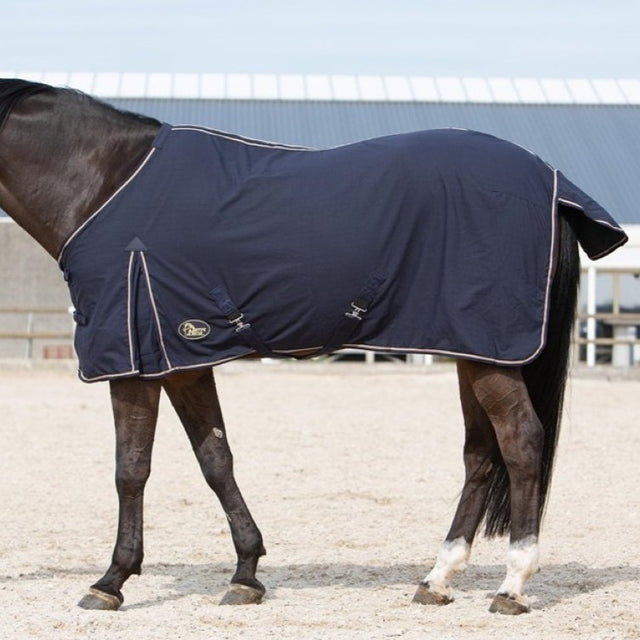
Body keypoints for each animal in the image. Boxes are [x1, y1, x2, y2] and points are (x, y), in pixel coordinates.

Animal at [0, 78, 627, 615]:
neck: (105, 184)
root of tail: (549, 181)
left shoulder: (131, 363)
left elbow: (130, 469)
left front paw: (111, 582)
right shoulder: (182, 362)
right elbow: (215, 459)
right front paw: (246, 573)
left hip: (488, 352)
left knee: (520, 442)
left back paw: (512, 585)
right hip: (473, 351)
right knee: (480, 453)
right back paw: (437, 578)